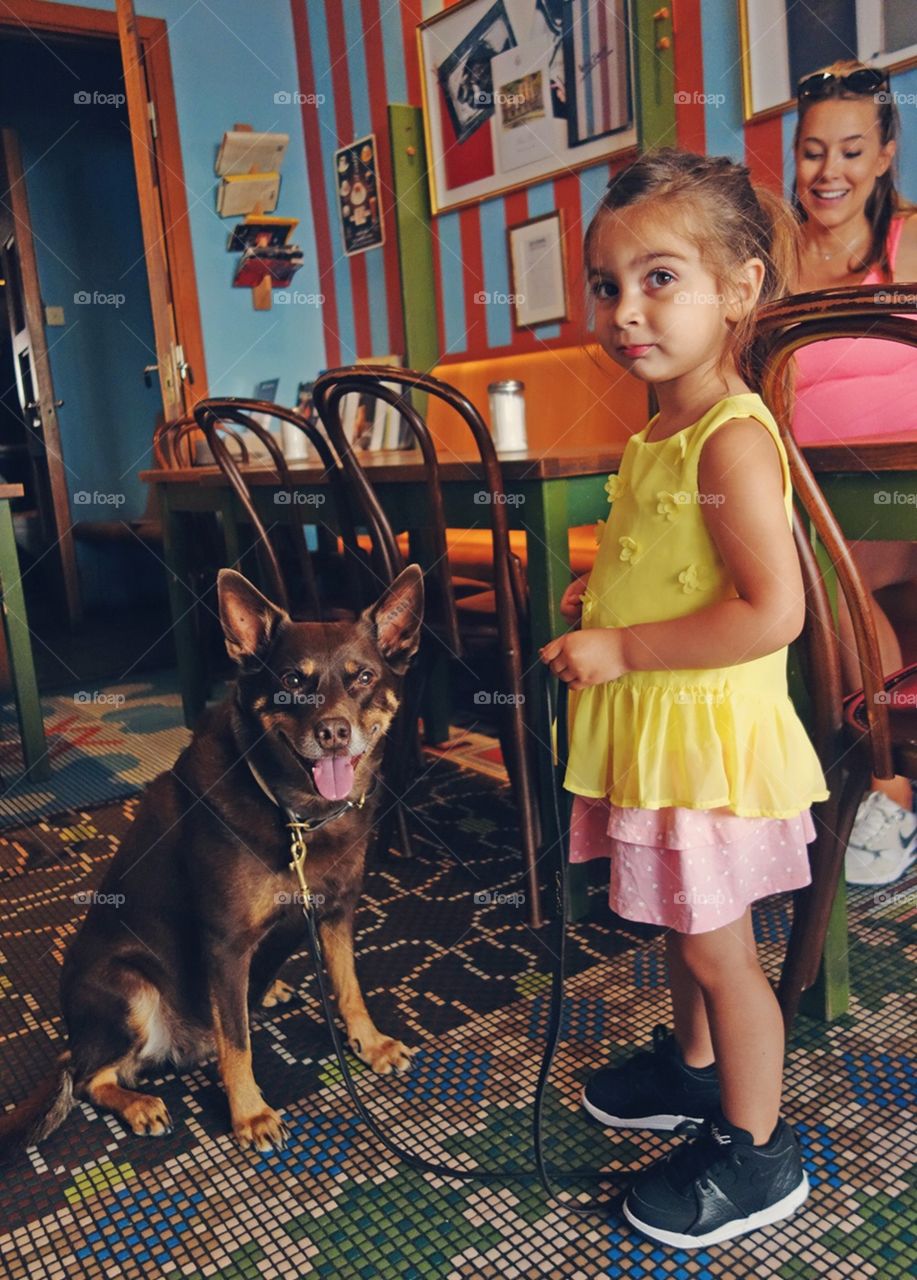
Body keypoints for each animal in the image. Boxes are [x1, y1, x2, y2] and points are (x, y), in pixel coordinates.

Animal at [0, 565, 425, 1157]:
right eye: (292, 681)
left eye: (362, 677)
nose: (334, 732)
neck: (297, 813)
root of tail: (74, 1037)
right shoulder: (225, 944)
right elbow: (237, 1042)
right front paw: (249, 1114)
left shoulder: (338, 912)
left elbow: (349, 986)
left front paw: (370, 1042)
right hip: (130, 986)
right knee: (90, 1078)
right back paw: (138, 1104)